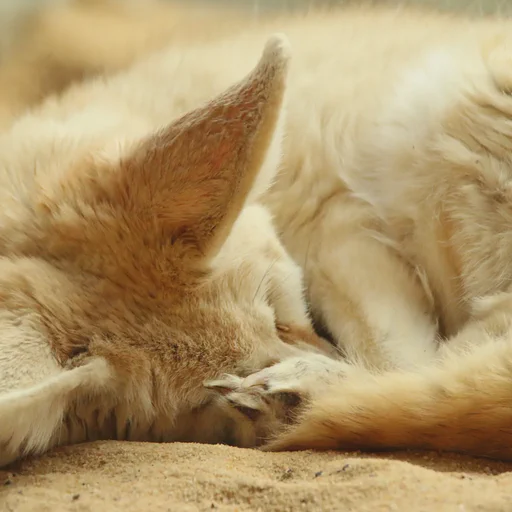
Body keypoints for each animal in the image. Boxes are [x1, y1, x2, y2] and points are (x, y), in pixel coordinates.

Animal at [5, 2, 512, 466]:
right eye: (206, 401)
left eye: (280, 309)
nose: (253, 393)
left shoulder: (337, 216)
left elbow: (399, 361)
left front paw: (313, 386)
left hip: (440, 114)